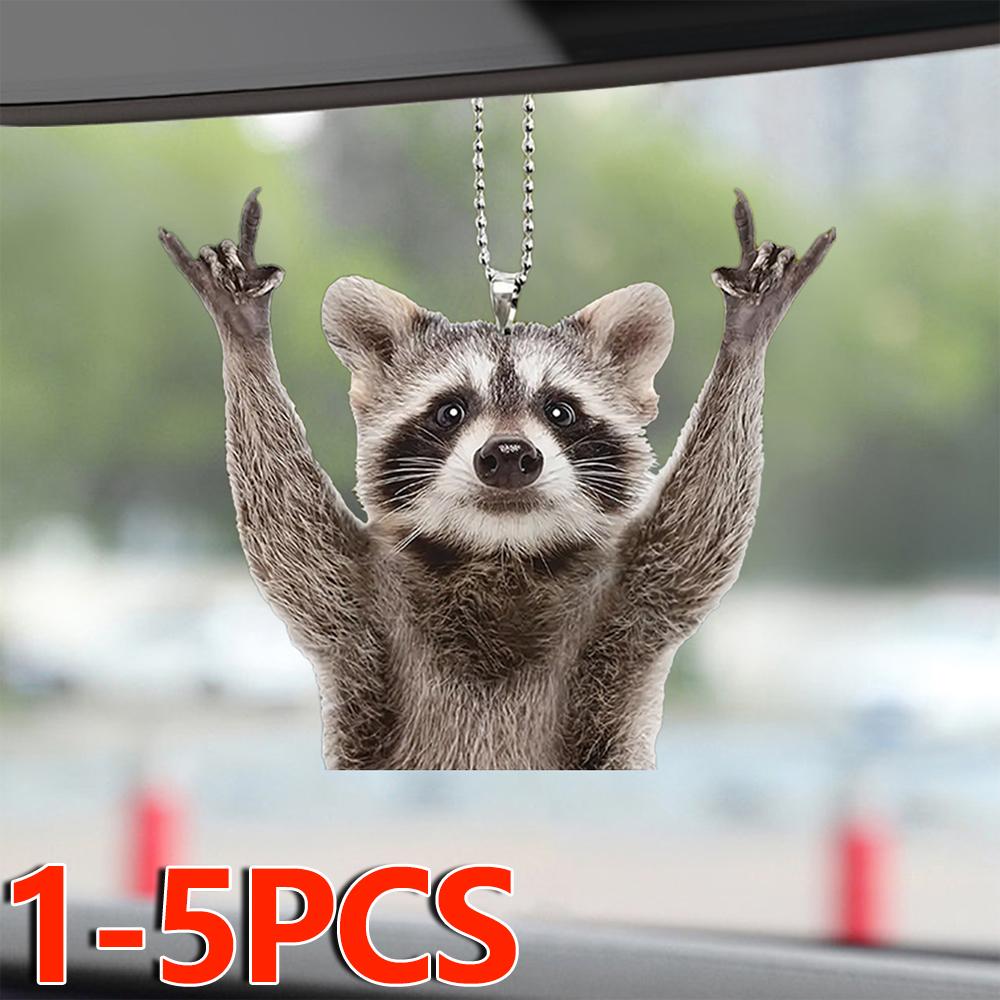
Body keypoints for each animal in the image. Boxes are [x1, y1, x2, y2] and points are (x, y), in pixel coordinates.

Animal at [159, 188, 834, 769]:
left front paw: (744, 337)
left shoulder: (630, 602)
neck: (501, 551)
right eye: (451, 411)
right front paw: (245, 338)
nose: (509, 455)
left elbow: (700, 530)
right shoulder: (358, 601)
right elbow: (288, 530)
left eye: (559, 411)